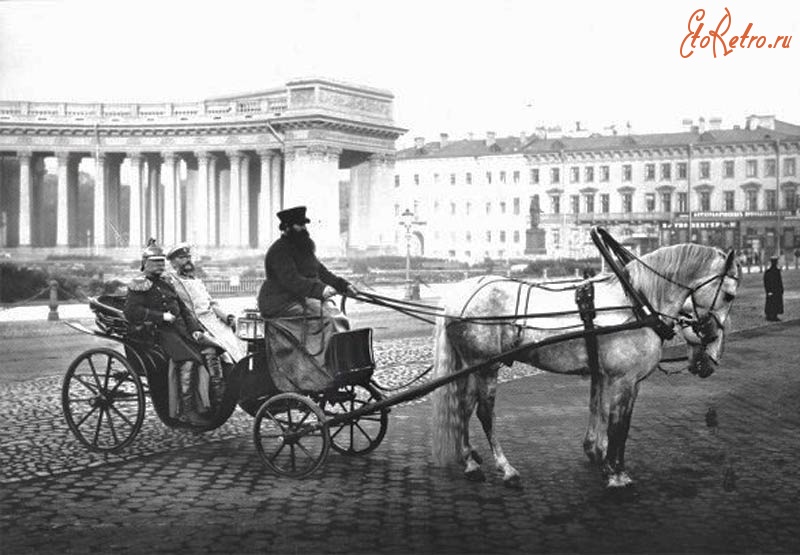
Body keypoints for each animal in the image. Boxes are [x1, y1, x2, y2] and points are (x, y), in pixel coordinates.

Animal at [432, 245, 736, 488]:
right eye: (729, 296)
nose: (713, 356)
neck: (636, 304)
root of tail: (458, 297)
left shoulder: (617, 379)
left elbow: (605, 414)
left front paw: (599, 455)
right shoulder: (622, 380)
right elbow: (618, 426)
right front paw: (615, 474)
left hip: (473, 367)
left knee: (462, 408)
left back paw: (470, 460)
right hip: (485, 367)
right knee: (483, 413)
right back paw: (506, 469)